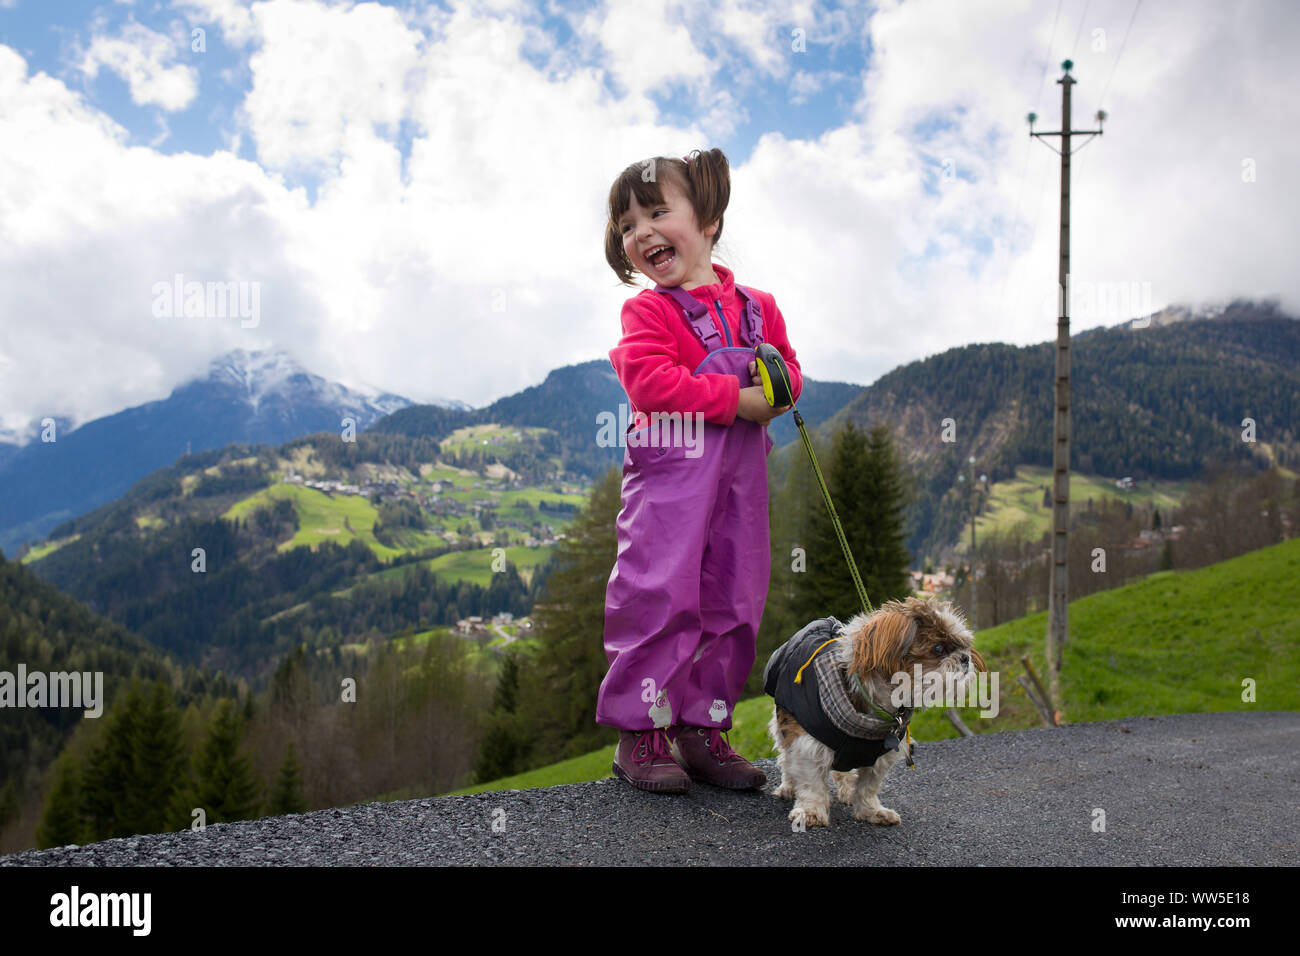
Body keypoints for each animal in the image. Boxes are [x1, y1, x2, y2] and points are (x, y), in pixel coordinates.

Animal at [759, 598, 982, 832]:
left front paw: (870, 811)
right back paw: (788, 787)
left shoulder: (880, 756)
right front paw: (811, 812)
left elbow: (868, 786)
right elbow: (812, 783)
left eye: (963, 645)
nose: (965, 658)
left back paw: (848, 790)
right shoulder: (808, 744)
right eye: (938, 648)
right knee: (787, 758)